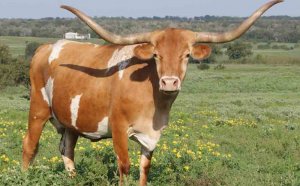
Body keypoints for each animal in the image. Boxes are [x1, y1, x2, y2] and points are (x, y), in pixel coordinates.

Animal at [22, 1, 282, 185]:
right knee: (29, 146)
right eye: (156, 55)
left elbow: (144, 170)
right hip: (38, 109)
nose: (169, 82)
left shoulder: (151, 137)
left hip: (70, 121)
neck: (152, 102)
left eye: (186, 55)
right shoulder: (118, 129)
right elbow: (124, 166)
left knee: (67, 150)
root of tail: (47, 47)